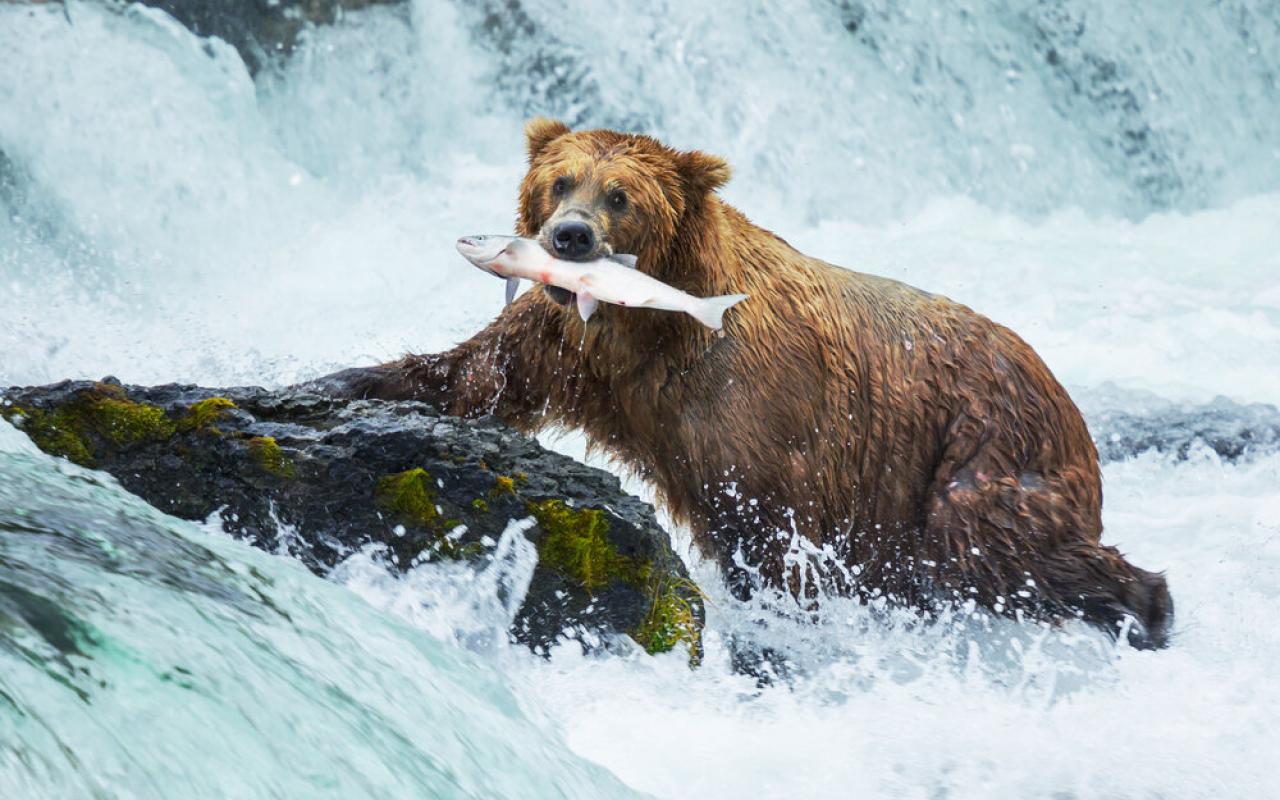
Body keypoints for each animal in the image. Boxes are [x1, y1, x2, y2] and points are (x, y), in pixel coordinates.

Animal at [316, 118, 1173, 649]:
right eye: (560, 181)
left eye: (620, 195)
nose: (570, 238)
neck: (650, 324)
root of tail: (1062, 393)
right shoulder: (571, 348)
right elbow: (477, 374)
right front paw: (344, 378)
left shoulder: (755, 404)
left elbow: (767, 527)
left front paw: (776, 623)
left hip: (978, 444)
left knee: (989, 545)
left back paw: (1146, 607)